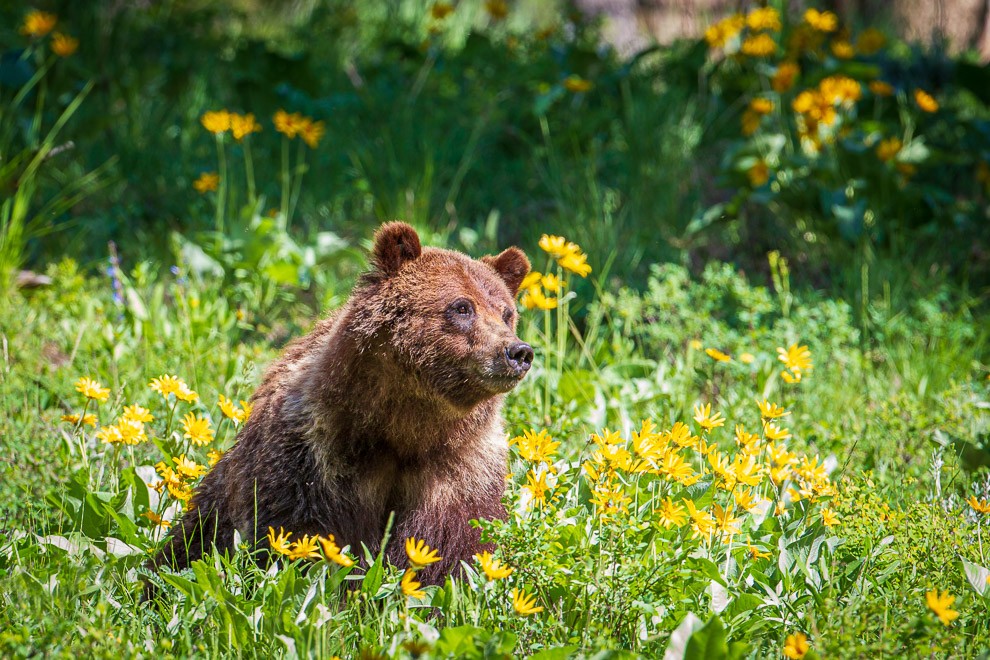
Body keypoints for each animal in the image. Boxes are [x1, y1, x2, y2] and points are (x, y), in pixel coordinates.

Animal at [151, 222, 536, 584]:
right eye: (462, 307)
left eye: (506, 312)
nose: (517, 351)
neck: (406, 426)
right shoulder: (318, 461)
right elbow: (309, 539)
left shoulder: (460, 473)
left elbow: (448, 548)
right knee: (195, 541)